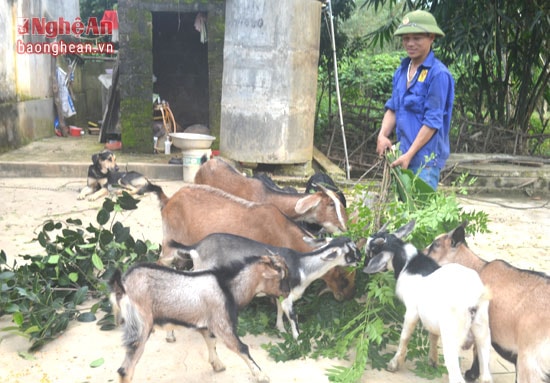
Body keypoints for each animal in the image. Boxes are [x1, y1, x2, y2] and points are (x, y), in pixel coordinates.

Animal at [107, 255, 288, 383]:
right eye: (281, 277)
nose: (286, 293)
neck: (227, 286)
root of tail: (122, 287)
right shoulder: (222, 322)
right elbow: (241, 347)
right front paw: (262, 375)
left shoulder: (206, 325)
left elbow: (211, 342)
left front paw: (218, 365)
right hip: (141, 327)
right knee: (126, 369)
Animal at [170, 234, 364, 340]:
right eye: (351, 251)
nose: (361, 259)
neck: (302, 266)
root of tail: (197, 246)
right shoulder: (288, 297)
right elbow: (292, 316)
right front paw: (298, 340)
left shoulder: (280, 294)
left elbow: (279, 311)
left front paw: (280, 329)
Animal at [364, 222, 494, 383]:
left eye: (370, 252)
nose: (363, 264)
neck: (409, 265)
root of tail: (473, 298)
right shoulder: (432, 319)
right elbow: (433, 336)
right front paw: (432, 361)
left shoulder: (412, 311)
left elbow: (404, 337)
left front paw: (394, 364)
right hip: (483, 331)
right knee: (486, 373)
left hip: (452, 336)